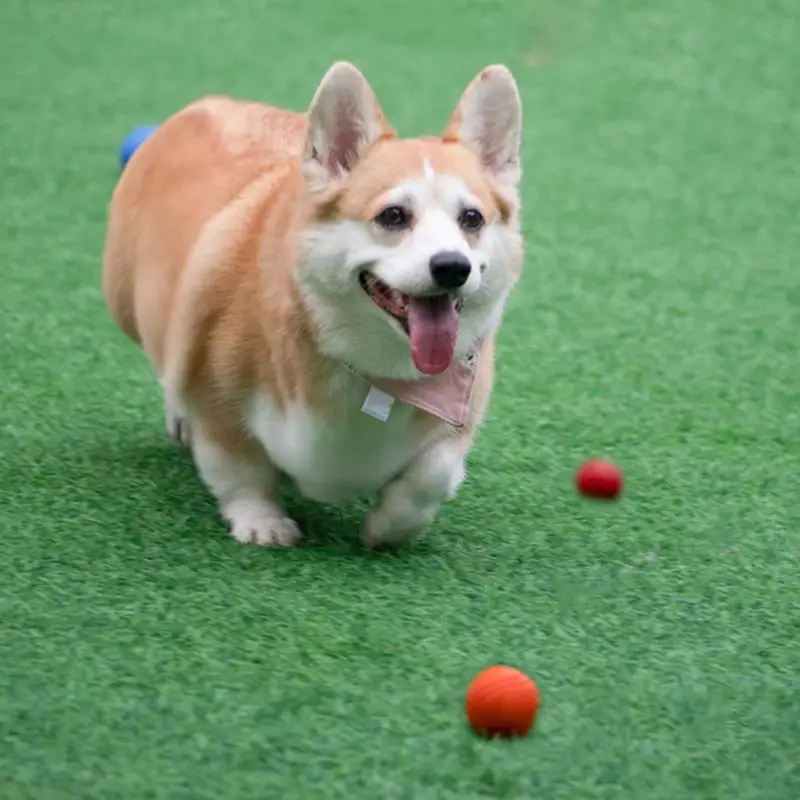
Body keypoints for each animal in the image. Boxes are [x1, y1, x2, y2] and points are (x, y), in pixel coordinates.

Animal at [101, 61, 524, 552]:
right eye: (393, 216)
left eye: (471, 218)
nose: (453, 266)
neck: (376, 373)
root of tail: (204, 106)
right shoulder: (216, 402)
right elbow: (239, 470)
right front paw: (262, 524)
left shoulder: (457, 419)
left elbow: (431, 477)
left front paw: (390, 529)